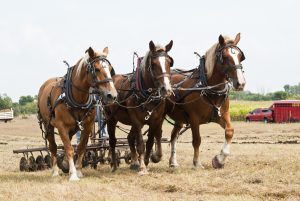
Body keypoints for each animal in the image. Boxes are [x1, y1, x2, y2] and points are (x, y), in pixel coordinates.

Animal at [37, 47, 117, 181]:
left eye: (110, 69)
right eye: (96, 69)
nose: (112, 95)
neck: (78, 98)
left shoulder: (88, 125)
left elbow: (80, 147)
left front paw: (78, 171)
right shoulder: (61, 126)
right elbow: (69, 149)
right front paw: (73, 175)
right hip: (47, 125)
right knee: (53, 146)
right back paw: (55, 171)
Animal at [106, 40, 173, 174]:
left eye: (169, 62)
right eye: (153, 64)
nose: (166, 90)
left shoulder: (155, 120)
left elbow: (150, 142)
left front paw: (146, 162)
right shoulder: (136, 120)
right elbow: (141, 144)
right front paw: (142, 167)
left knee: (130, 138)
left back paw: (134, 162)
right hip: (111, 118)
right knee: (112, 141)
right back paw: (114, 165)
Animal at [164, 33, 246, 169]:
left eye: (240, 56)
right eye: (224, 57)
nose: (241, 83)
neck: (208, 87)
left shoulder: (221, 115)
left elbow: (229, 131)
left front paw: (219, 160)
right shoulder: (194, 118)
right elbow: (197, 140)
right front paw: (197, 163)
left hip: (179, 118)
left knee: (173, 136)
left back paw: (173, 162)